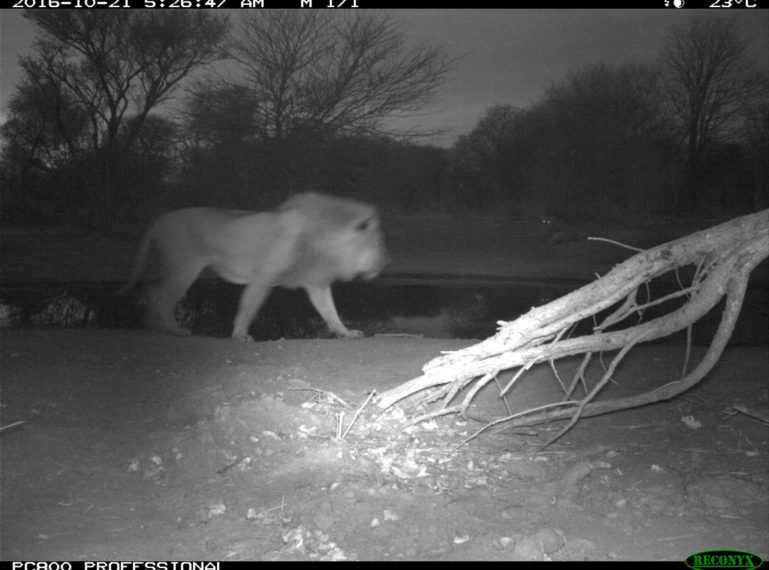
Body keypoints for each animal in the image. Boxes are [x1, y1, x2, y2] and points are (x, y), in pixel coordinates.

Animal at [118, 193, 390, 340]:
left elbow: (330, 311)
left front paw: (346, 332)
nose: (385, 263)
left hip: (176, 267)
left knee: (151, 291)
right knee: (162, 296)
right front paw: (240, 335)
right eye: (377, 242)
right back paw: (174, 330)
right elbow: (248, 306)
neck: (327, 242)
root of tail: (157, 221)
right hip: (185, 265)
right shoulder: (265, 275)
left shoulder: (315, 281)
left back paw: (153, 326)